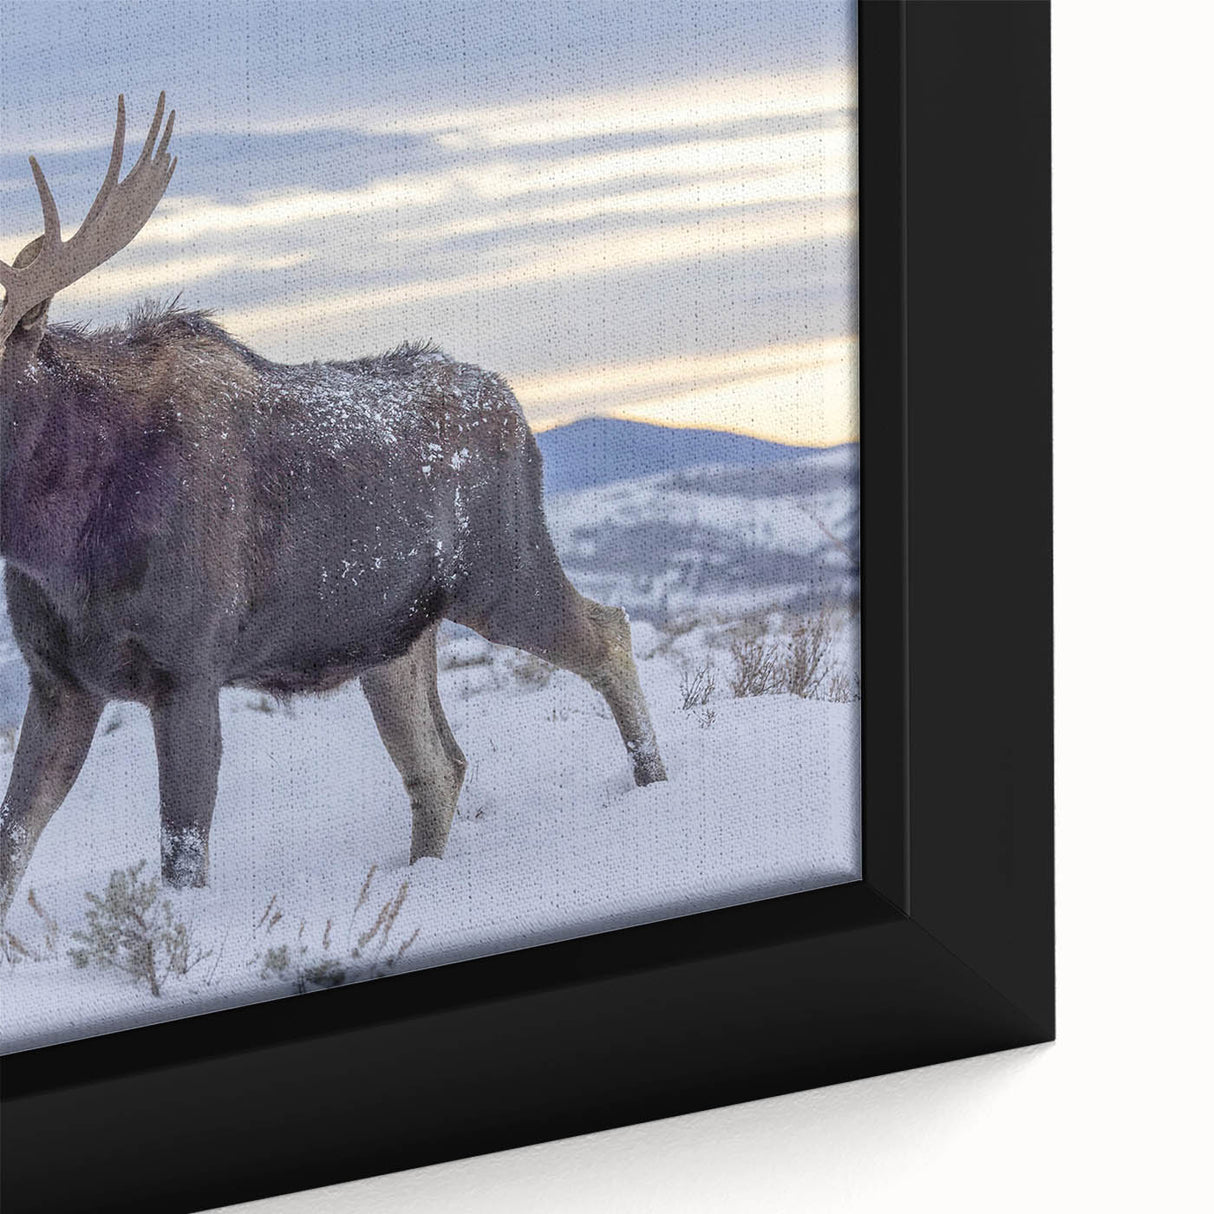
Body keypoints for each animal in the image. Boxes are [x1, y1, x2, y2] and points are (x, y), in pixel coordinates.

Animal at [0, 94, 666, 920]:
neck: (59, 543)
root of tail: (516, 409)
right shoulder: (57, 677)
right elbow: (14, 844)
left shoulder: (188, 665)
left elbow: (181, 859)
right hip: (395, 636)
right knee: (439, 763)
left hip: (505, 570)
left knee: (608, 632)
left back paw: (654, 785)